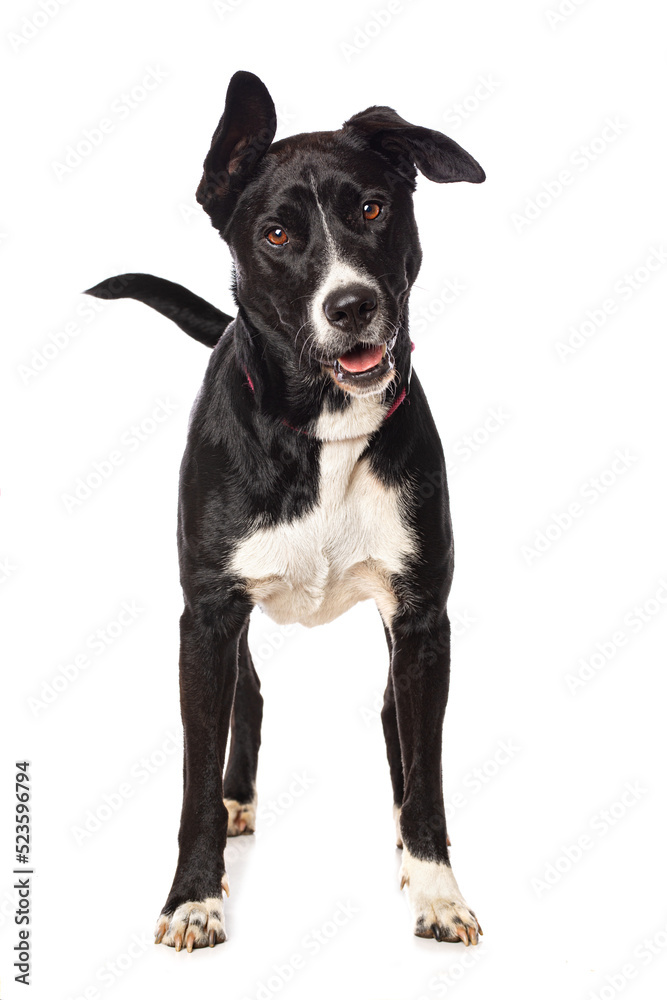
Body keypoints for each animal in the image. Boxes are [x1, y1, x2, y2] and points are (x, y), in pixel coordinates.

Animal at [87, 72, 486, 952]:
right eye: (275, 233)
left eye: (372, 207)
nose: (351, 305)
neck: (322, 429)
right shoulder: (205, 615)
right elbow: (193, 774)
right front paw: (193, 897)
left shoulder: (421, 620)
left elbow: (428, 772)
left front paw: (435, 889)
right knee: (251, 694)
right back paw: (236, 803)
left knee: (392, 723)